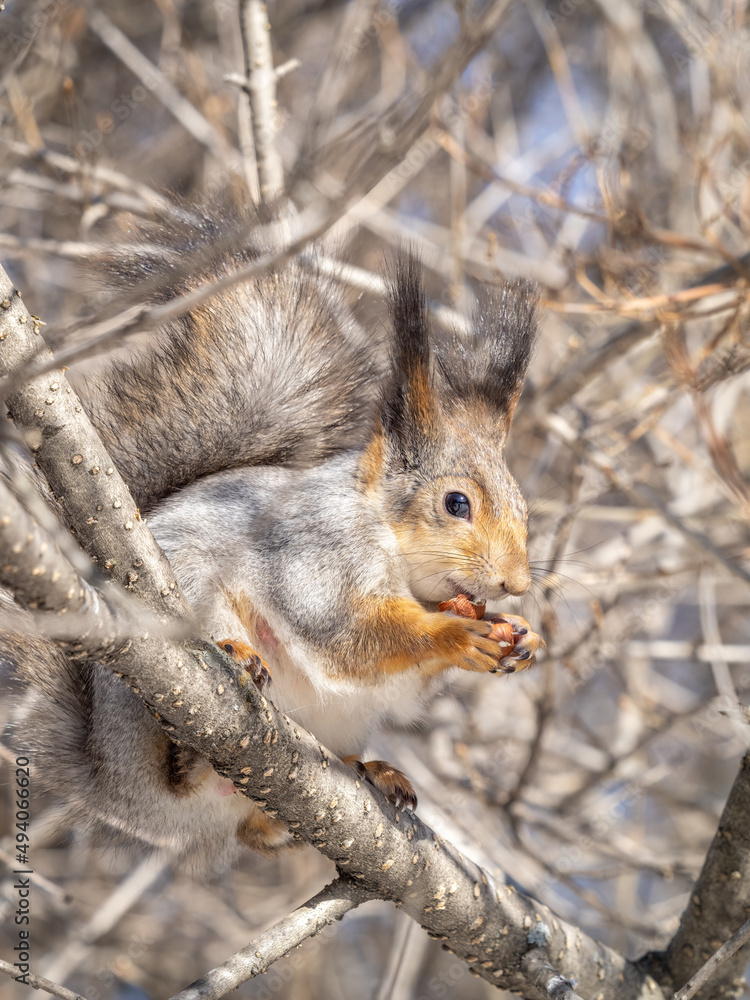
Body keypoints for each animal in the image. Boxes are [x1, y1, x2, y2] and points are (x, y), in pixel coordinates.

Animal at [1, 215, 544, 867]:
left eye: (525, 509)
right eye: (456, 504)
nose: (516, 582)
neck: (389, 542)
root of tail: (111, 784)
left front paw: (522, 636)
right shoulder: (313, 547)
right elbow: (342, 631)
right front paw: (457, 634)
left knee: (257, 833)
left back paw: (368, 770)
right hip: (160, 681)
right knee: (178, 769)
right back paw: (200, 734)